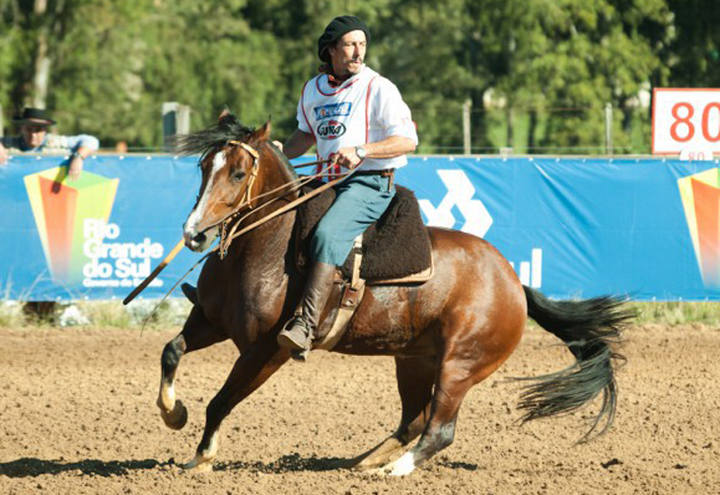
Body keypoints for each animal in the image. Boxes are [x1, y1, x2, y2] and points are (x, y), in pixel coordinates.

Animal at [158, 116, 632, 476]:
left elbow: (221, 400)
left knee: (438, 429)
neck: (269, 246)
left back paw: (393, 469)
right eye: (204, 167)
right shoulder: (210, 322)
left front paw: (202, 458)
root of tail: (514, 282)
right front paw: (173, 414)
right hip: (414, 360)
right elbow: (171, 351)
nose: (194, 234)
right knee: (413, 420)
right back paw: (363, 461)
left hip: (460, 364)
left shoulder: (265, 351)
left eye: (238, 173)